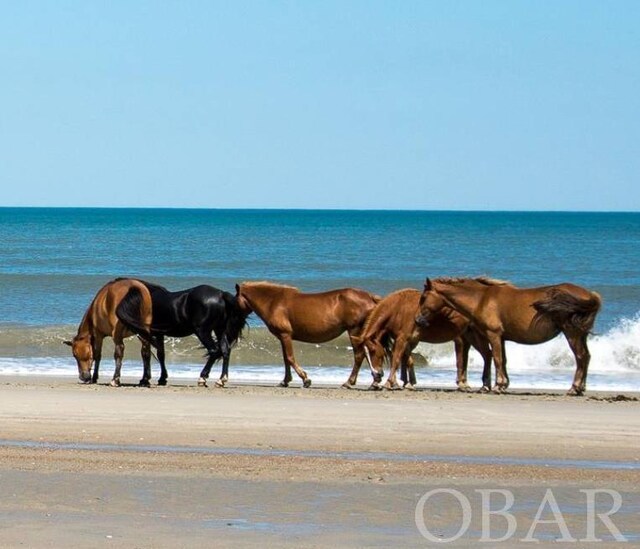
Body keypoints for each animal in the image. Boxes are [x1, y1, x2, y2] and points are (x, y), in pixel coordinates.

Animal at [115, 280, 248, 388]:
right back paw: (221, 380)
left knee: (214, 351)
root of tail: (220, 294)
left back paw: (202, 377)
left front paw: (145, 379)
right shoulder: (159, 334)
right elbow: (160, 354)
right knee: (225, 350)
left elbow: (146, 354)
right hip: (219, 330)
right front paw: (162, 378)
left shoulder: (149, 334)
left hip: (202, 331)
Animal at [236, 280, 382, 388]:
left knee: (359, 355)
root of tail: (369, 297)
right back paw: (375, 381)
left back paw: (349, 382)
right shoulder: (283, 337)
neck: (274, 302)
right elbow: (286, 359)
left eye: (235, 300)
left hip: (354, 330)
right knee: (368, 352)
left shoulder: (285, 335)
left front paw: (305, 379)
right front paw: (285, 381)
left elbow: (290, 358)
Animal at [342, 286, 492, 390]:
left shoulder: (402, 339)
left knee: (486, 355)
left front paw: (390, 383)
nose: (377, 374)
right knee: (486, 355)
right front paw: (408, 383)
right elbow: (408, 360)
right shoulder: (407, 340)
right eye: (366, 353)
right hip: (471, 335)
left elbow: (396, 359)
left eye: (374, 352)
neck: (398, 308)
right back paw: (482, 385)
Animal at [418, 278, 604, 394]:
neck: (481, 299)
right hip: (581, 335)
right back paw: (581, 388)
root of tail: (591, 296)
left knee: (580, 357)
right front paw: (503, 384)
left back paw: (574, 388)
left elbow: (497, 359)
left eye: (424, 297)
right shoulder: (501, 338)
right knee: (587, 357)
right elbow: (503, 360)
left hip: (572, 333)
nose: (418, 319)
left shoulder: (493, 335)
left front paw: (498, 386)